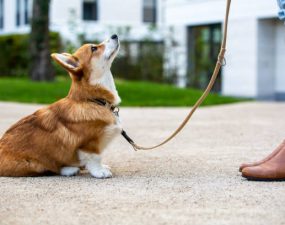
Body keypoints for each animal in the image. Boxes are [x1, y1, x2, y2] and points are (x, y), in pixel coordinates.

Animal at [0, 33, 121, 178]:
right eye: (94, 48)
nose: (114, 35)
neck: (92, 100)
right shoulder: (89, 144)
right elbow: (95, 158)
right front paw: (99, 171)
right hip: (34, 164)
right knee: (50, 168)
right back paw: (69, 169)